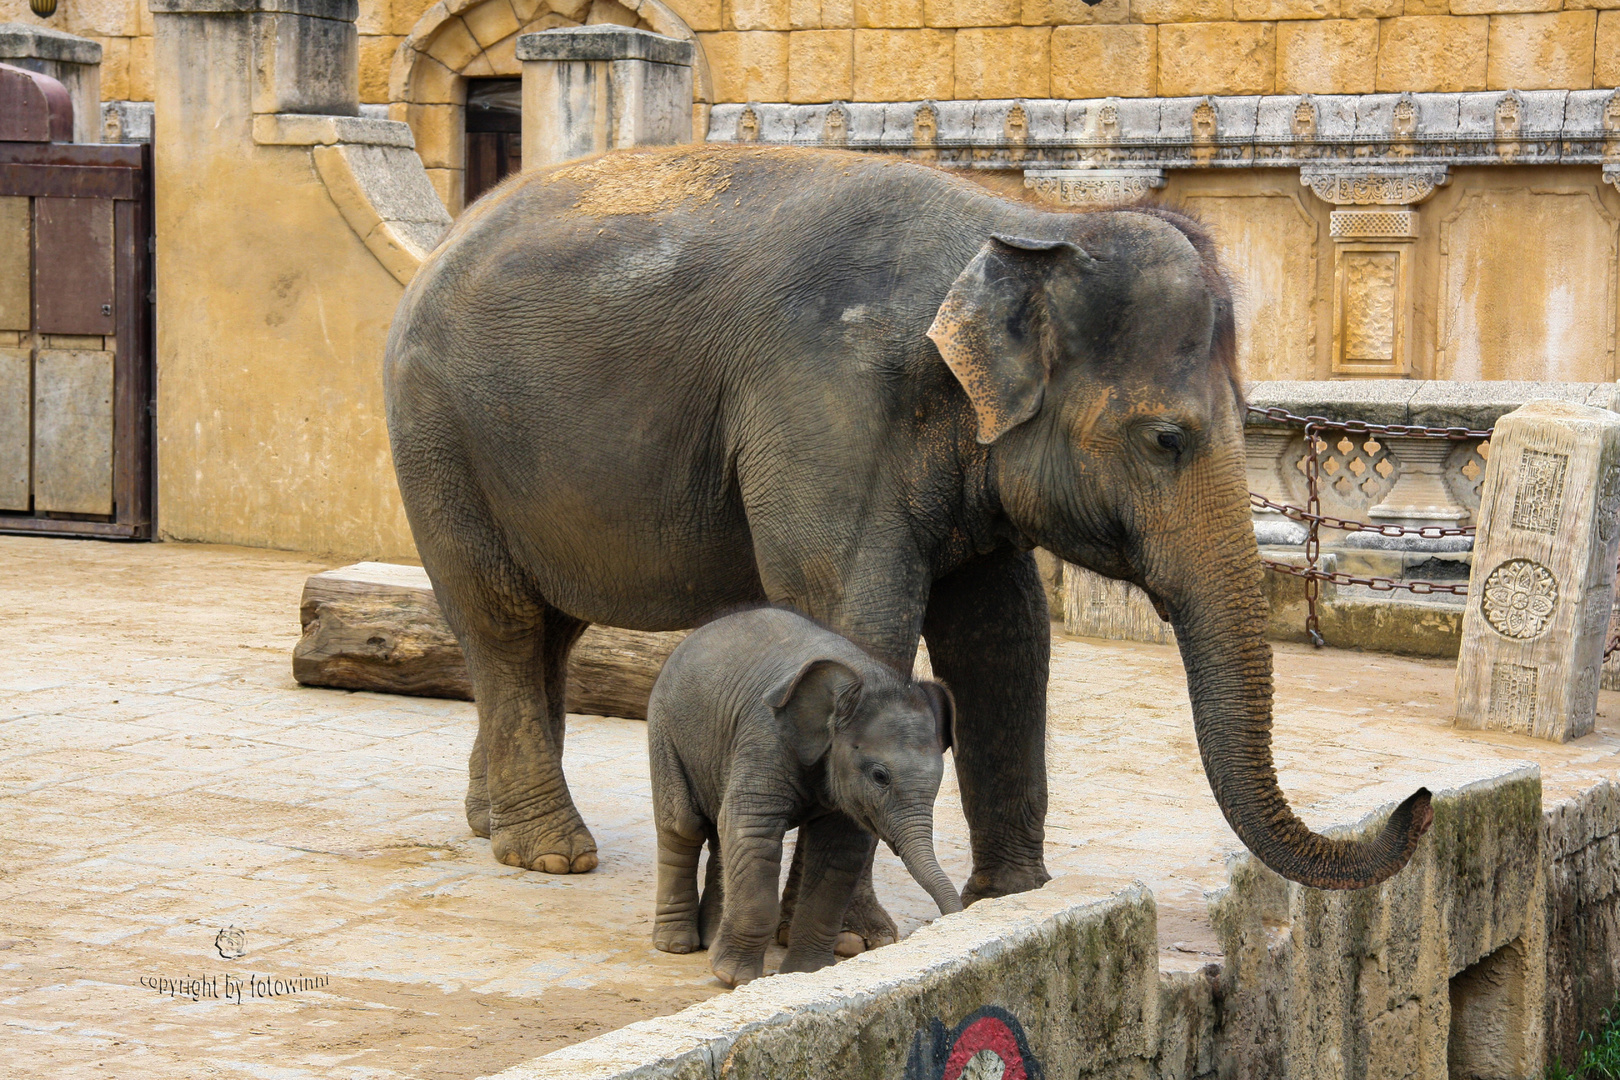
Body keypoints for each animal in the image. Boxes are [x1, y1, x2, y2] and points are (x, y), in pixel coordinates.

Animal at [385, 145, 1438, 945]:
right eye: (1166, 441)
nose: (1417, 799)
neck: (1021, 227)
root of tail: (444, 242)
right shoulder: (823, 408)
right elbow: (860, 622)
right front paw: (859, 939)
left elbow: (1005, 634)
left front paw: (1012, 901)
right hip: (436, 438)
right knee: (502, 619)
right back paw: (550, 853)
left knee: (546, 631)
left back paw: (491, 822)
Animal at [644, 608, 959, 990]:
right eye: (880, 776)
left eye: (939, 780)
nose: (953, 918)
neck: (865, 677)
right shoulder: (765, 736)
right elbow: (753, 831)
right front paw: (733, 978)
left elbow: (839, 852)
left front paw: (808, 973)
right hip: (665, 729)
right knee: (684, 826)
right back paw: (676, 945)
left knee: (719, 832)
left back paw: (710, 938)